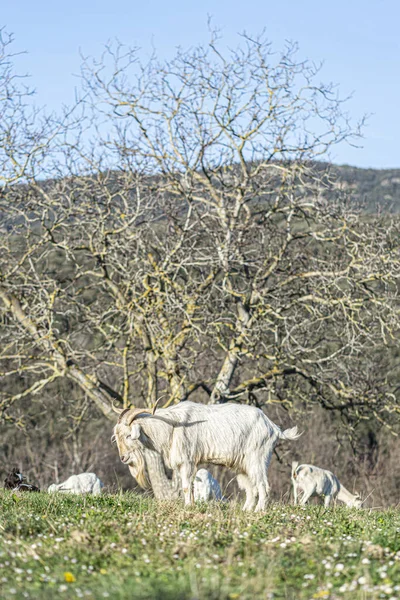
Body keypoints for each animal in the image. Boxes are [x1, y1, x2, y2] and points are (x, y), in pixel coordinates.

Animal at [112, 398, 300, 510]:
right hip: (243, 466)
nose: (123, 458)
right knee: (251, 488)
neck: (172, 425)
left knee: (263, 486)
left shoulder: (187, 461)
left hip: (257, 460)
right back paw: (246, 511)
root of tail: (273, 427)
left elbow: (186, 486)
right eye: (117, 436)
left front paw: (188, 507)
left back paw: (258, 511)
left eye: (128, 435)